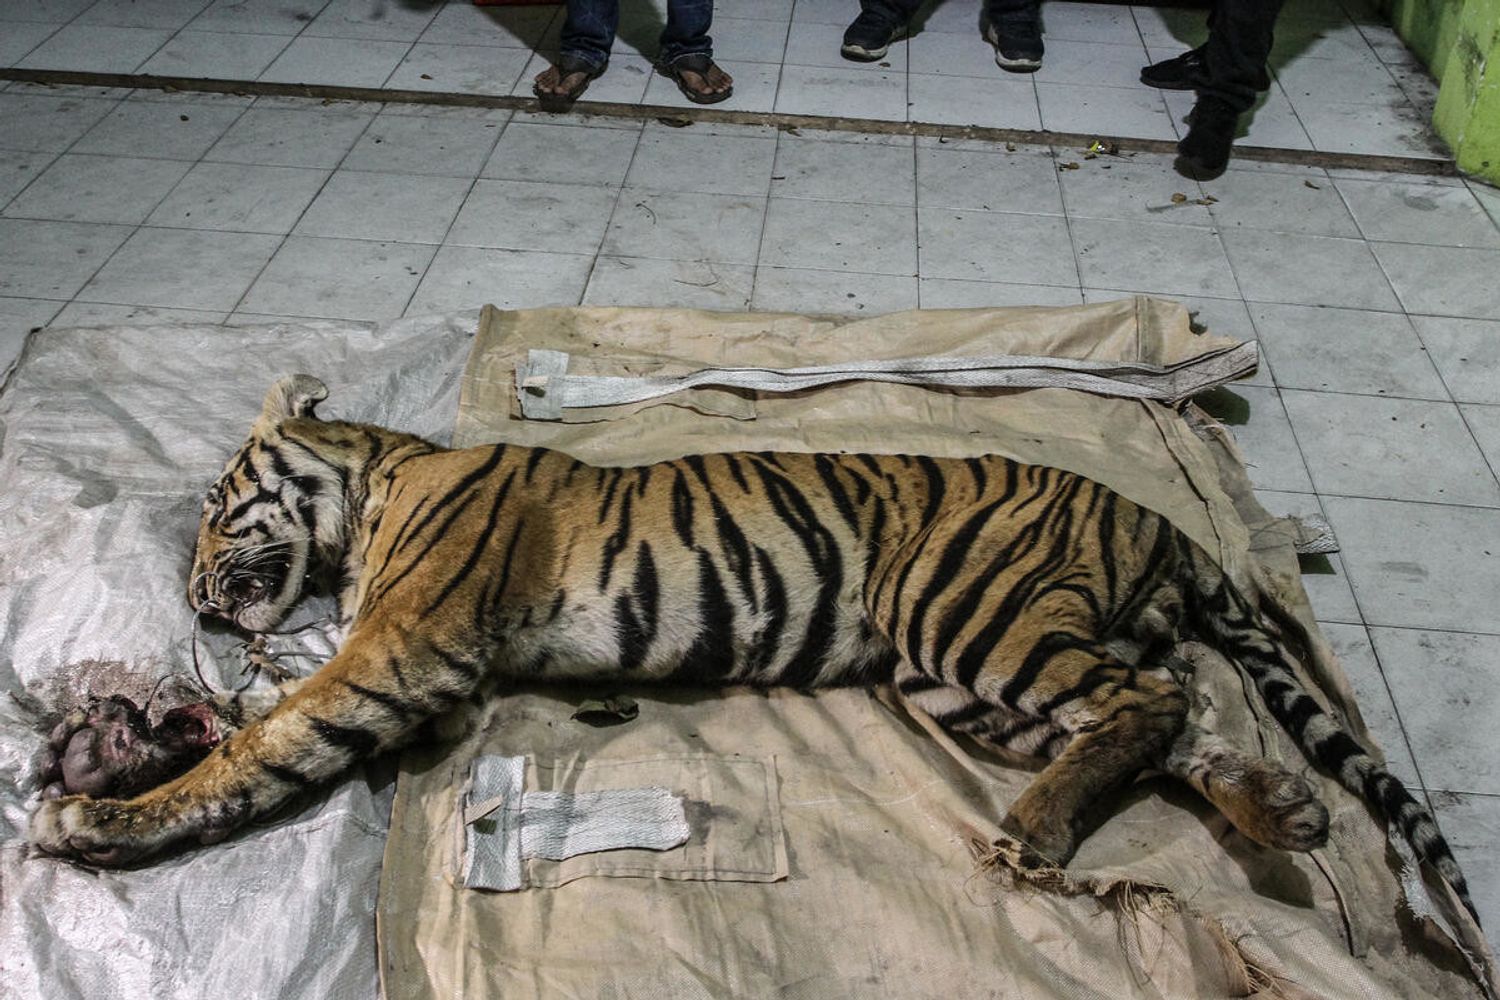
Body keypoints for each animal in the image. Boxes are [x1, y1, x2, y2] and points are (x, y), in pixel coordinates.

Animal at [27, 374, 1477, 923]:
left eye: (218, 505)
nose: (194, 597)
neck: (379, 483)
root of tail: (1157, 518)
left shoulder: (405, 651)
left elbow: (273, 743)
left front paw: (89, 824)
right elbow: (260, 721)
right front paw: (111, 751)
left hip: (964, 617)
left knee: (1144, 703)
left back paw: (1041, 833)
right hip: (960, 679)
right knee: (1172, 706)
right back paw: (1276, 805)